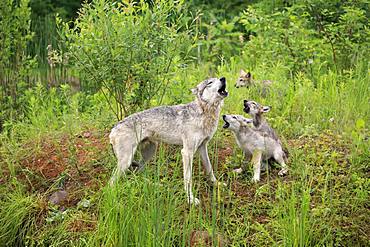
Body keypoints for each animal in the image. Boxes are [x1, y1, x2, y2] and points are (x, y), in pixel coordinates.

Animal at [108, 77, 227, 205]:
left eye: (218, 78)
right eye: (209, 83)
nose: (223, 78)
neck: (204, 112)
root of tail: (113, 128)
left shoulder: (202, 147)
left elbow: (210, 169)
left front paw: (216, 184)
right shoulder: (187, 152)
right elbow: (188, 179)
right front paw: (190, 199)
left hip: (149, 153)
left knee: (138, 172)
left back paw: (153, 185)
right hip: (126, 161)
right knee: (111, 183)